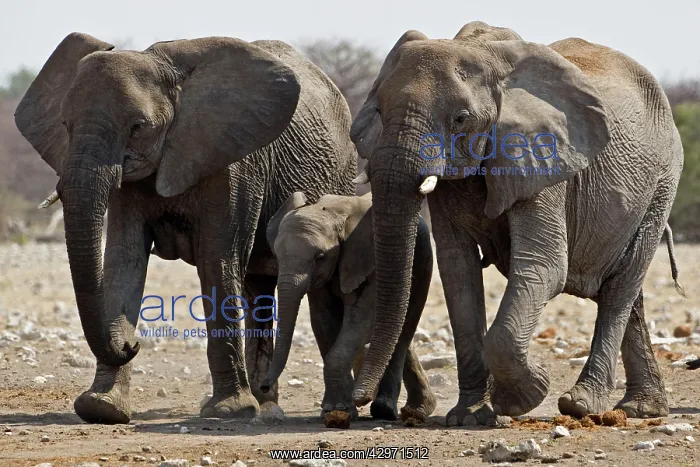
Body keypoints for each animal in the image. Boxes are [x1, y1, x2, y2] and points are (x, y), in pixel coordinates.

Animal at [14, 32, 357, 423]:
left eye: (138, 127)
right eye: (65, 125)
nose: (131, 344)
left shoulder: (234, 165)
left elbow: (217, 262)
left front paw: (227, 412)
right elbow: (123, 261)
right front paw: (101, 408)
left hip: (342, 177)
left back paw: (267, 407)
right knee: (258, 286)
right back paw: (264, 403)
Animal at [258, 191, 436, 425]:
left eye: (320, 257)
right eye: (277, 256)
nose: (263, 386)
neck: (332, 214)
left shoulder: (369, 261)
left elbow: (362, 319)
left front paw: (341, 409)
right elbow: (323, 321)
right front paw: (335, 411)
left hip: (423, 260)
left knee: (404, 328)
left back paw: (388, 410)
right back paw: (415, 409)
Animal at [348, 21, 685, 425]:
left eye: (460, 119)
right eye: (379, 111)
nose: (360, 401)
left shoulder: (543, 158)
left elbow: (545, 266)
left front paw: (520, 397)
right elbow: (457, 272)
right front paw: (470, 417)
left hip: (662, 184)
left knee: (621, 289)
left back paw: (582, 405)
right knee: (628, 294)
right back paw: (641, 409)